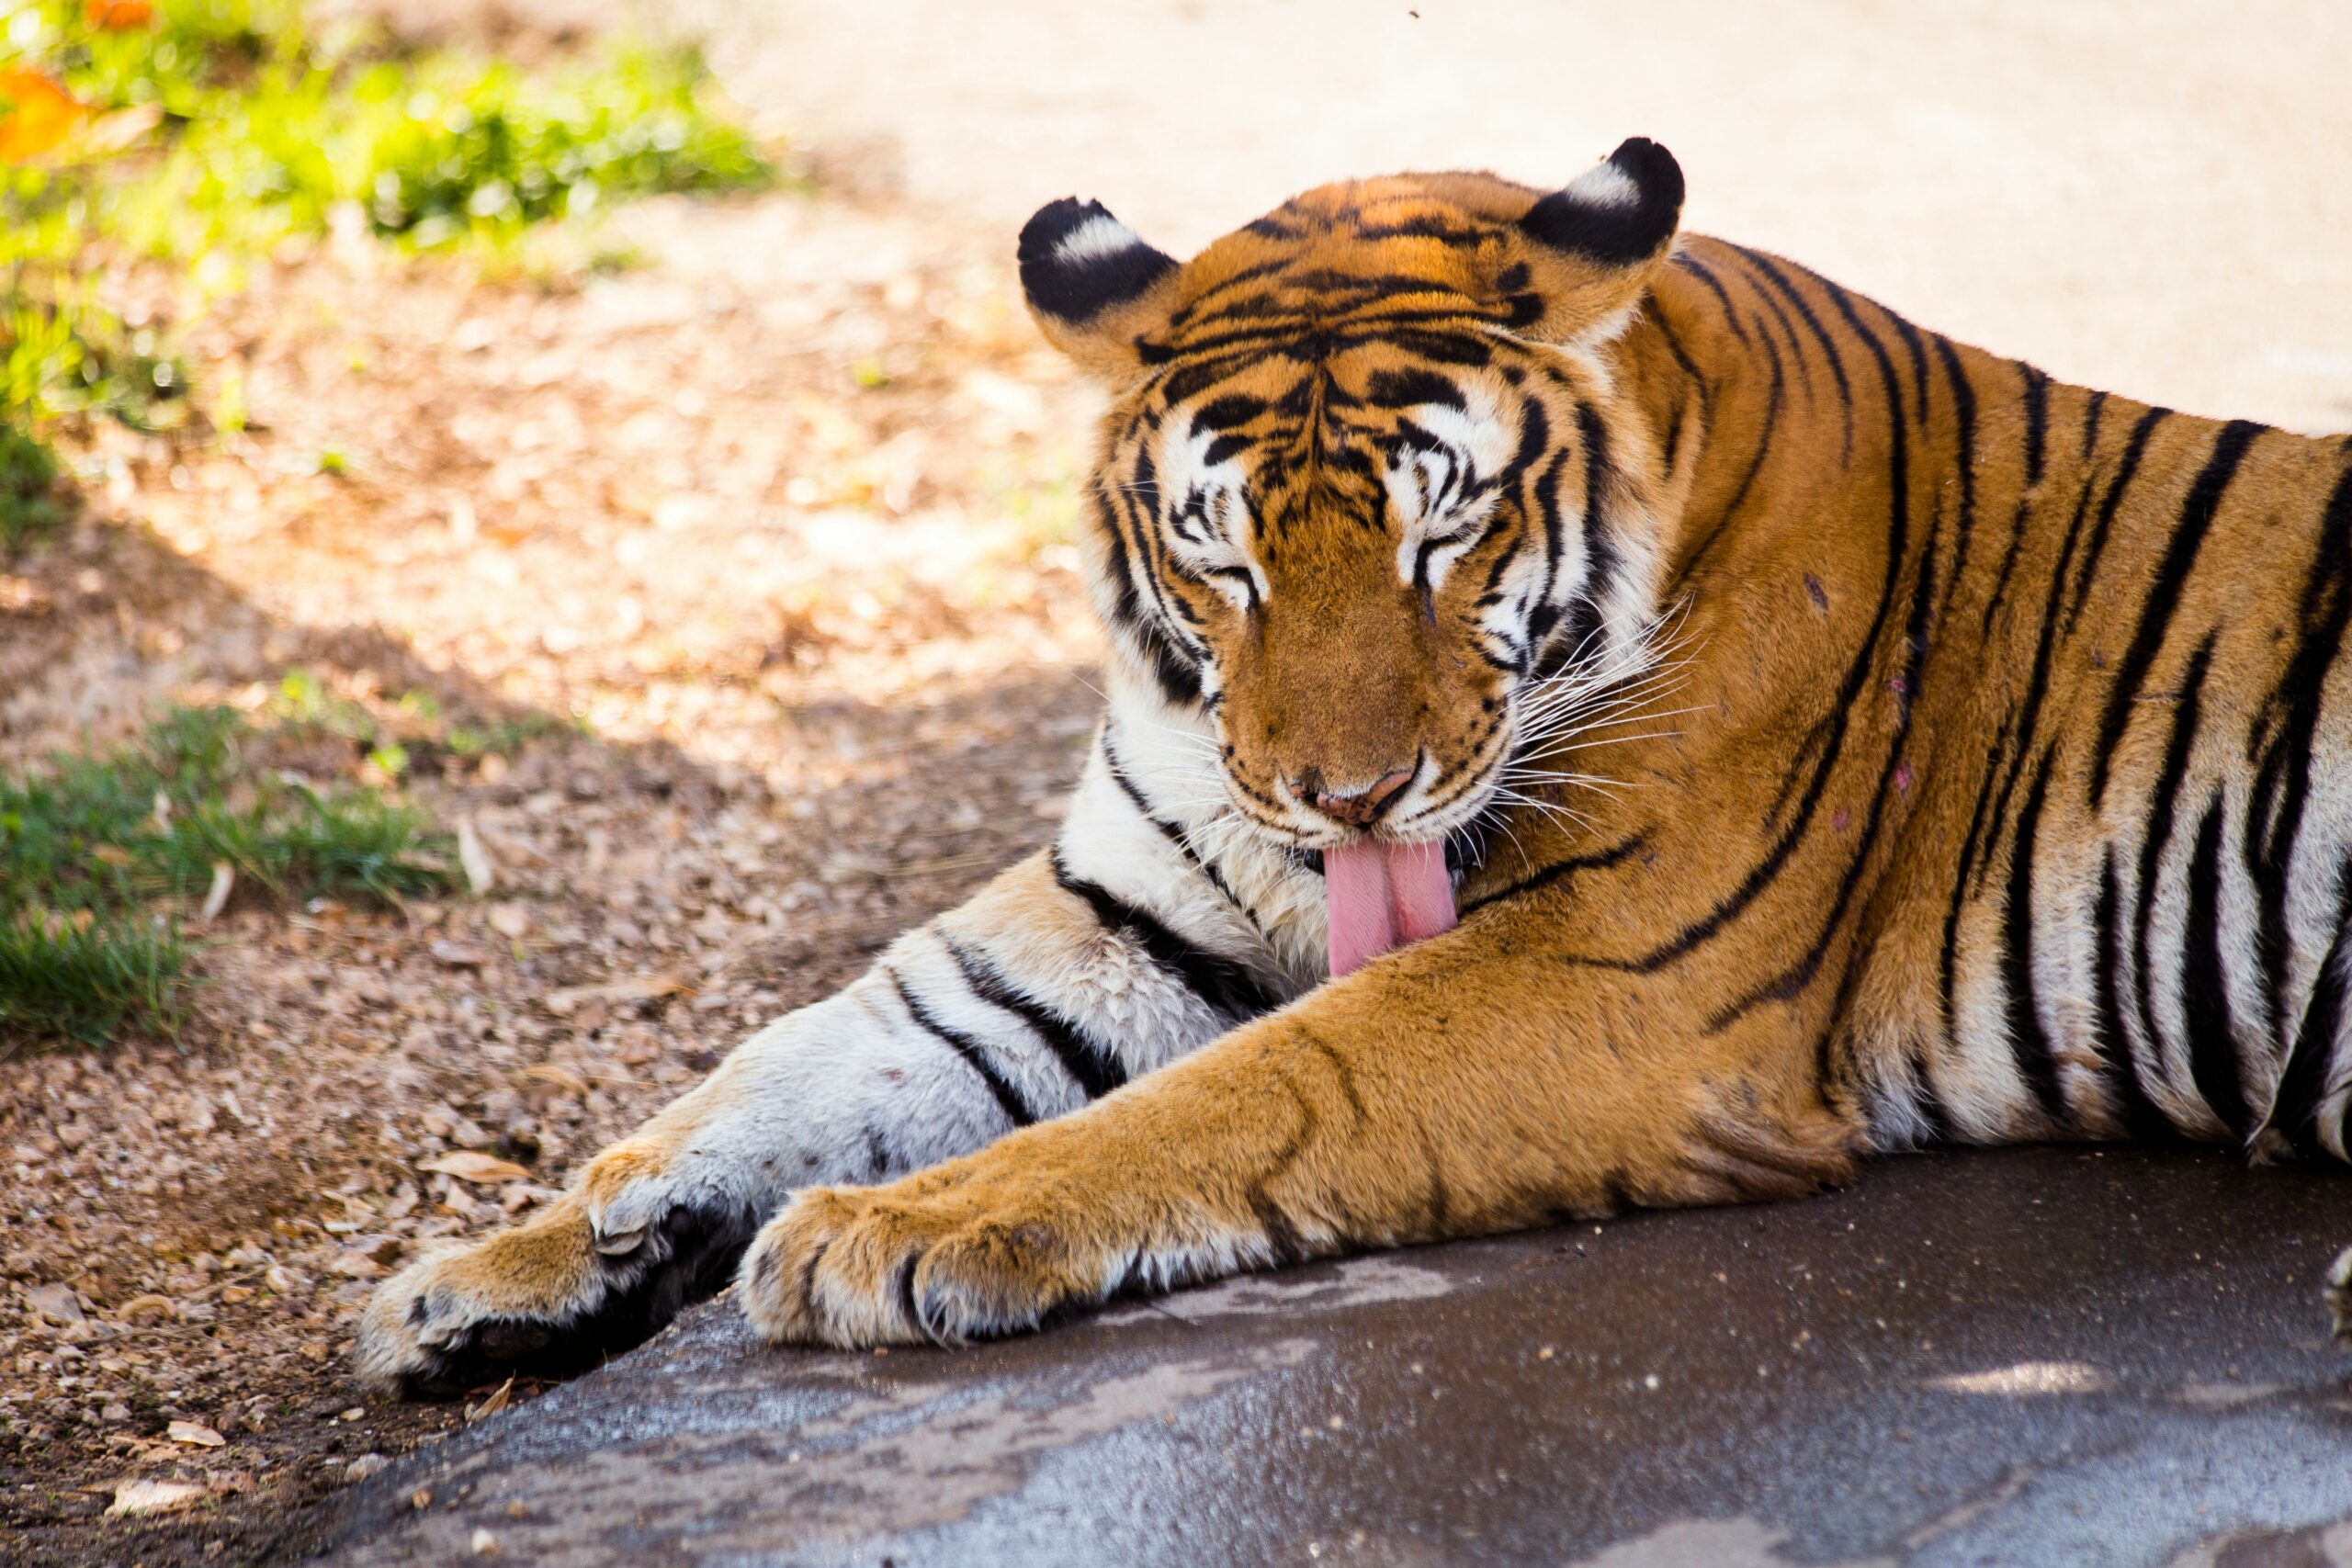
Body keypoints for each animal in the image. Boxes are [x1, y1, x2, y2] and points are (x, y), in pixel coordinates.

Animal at [353, 141, 2352, 1392]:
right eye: (1224, 557)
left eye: (1440, 536)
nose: (1345, 798)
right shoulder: (1120, 909)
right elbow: (798, 1060)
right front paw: (487, 1273)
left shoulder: (1613, 981)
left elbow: (1259, 1087)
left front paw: (888, 1230)